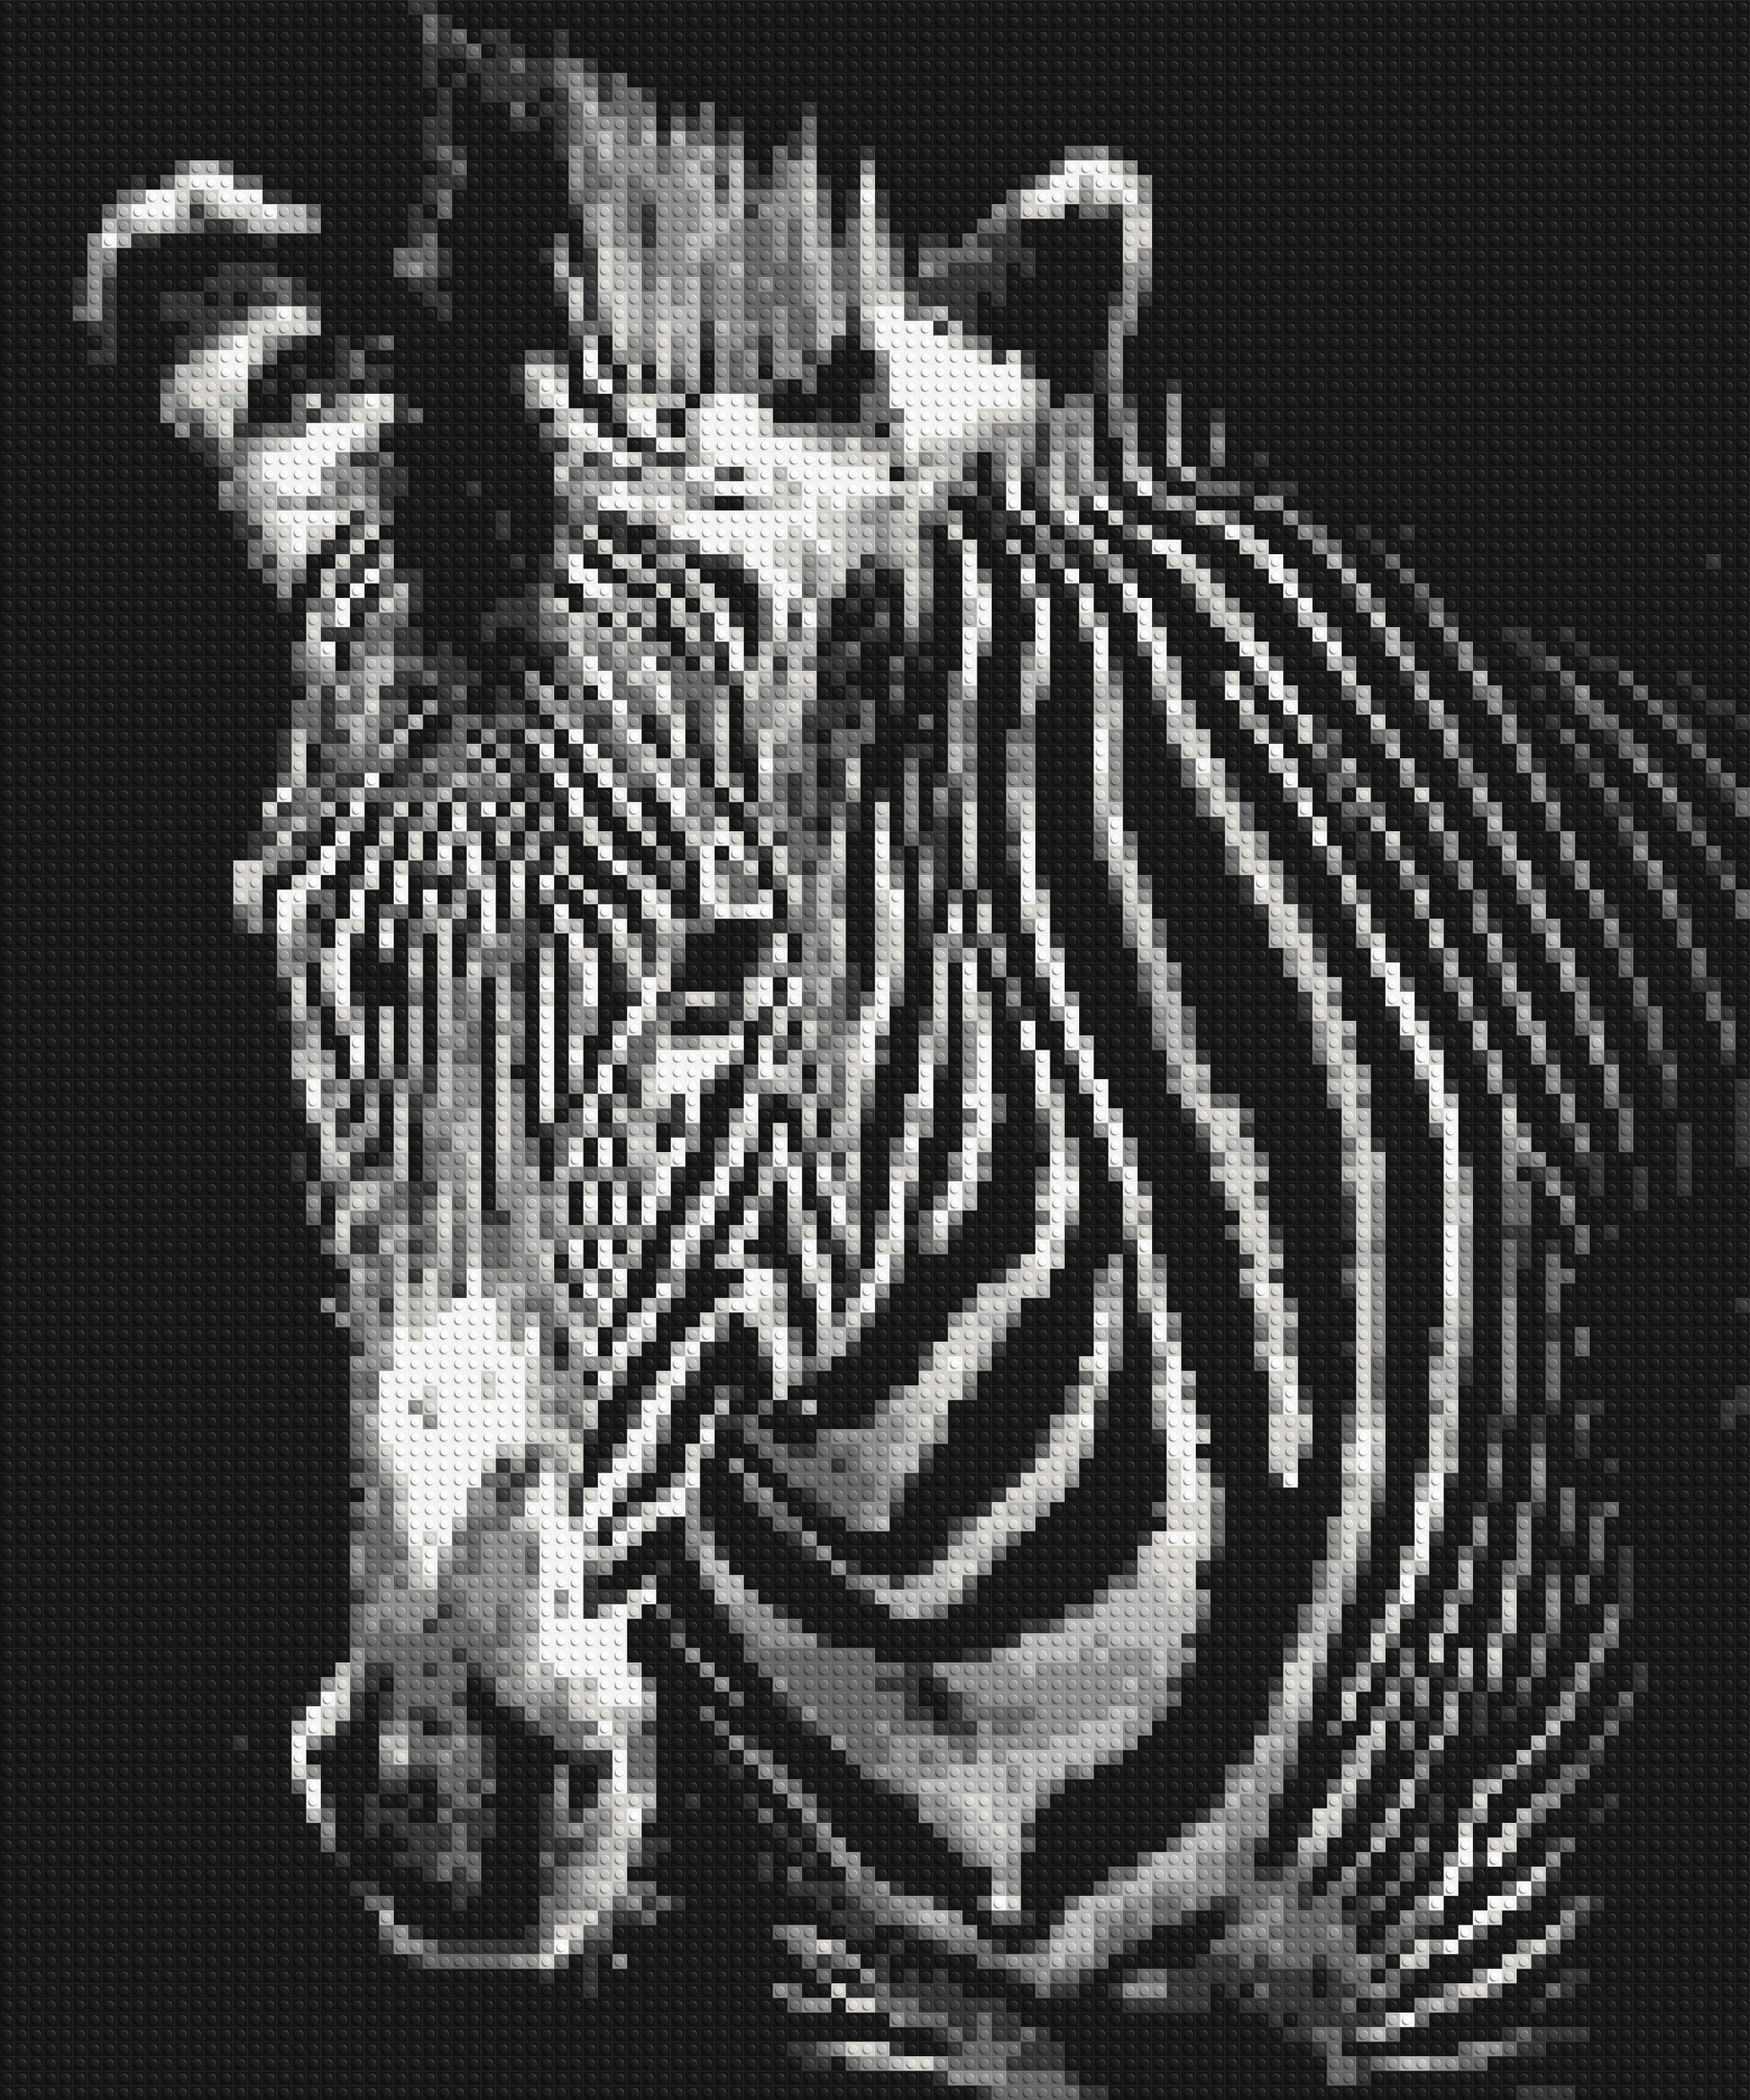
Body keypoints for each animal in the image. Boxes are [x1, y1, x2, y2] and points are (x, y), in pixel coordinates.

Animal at [81, 17, 1741, 2091]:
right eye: (281, 936)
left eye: (722, 961)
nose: (447, 1803)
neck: (927, 1573)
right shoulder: (881, 1980)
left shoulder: (1487, 1943)